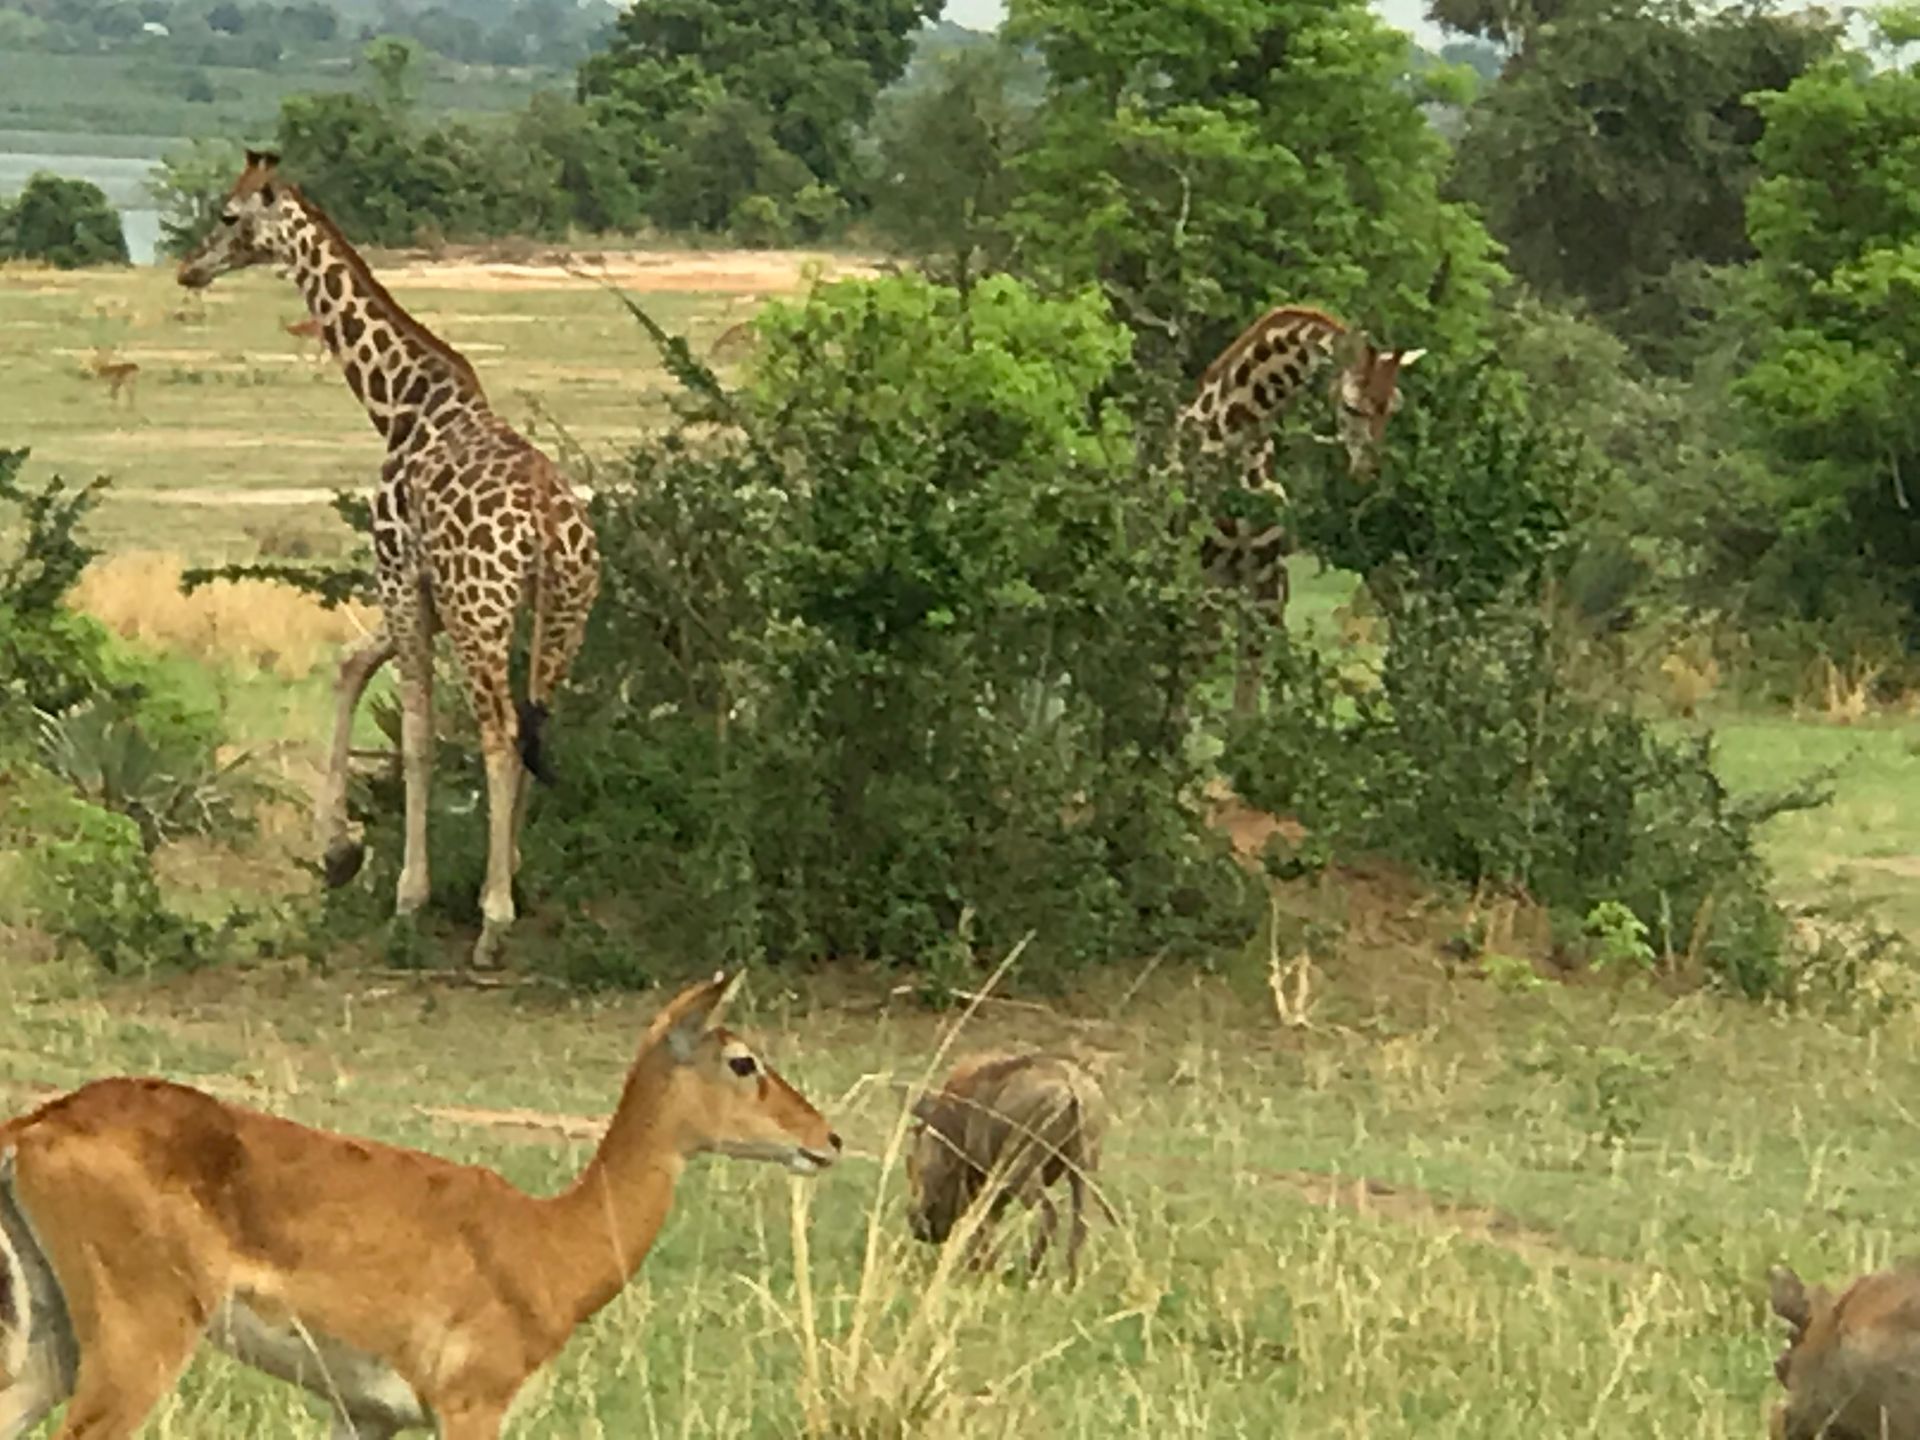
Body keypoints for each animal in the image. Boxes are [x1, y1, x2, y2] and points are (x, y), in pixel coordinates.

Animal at [0, 975, 840, 1436]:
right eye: (744, 1061)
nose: (828, 1139)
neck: (549, 1244)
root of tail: (34, 1127)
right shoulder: (470, 1406)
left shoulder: (368, 1414)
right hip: (138, 1342)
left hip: (53, 1340)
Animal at [180, 149, 602, 971]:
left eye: (227, 214)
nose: (189, 269)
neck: (399, 402)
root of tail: (546, 519)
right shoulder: (419, 592)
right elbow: (349, 664)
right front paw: (339, 853)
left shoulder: (400, 575)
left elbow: (413, 736)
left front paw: (408, 894)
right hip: (563, 611)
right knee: (538, 723)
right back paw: (513, 881)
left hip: (482, 611)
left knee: (500, 732)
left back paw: (492, 922)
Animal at [906, 1052, 1121, 1282]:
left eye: (918, 1168)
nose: (920, 1231)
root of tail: (1071, 1087)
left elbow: (983, 1224)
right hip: (1084, 1168)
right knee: (1080, 1225)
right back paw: (1069, 1282)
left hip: (1023, 1173)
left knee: (1049, 1213)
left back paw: (1032, 1271)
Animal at [1167, 311, 1428, 725]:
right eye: (1352, 407)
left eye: (1393, 408)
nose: (1367, 471)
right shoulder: (1206, 569)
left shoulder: (1263, 578)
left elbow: (1246, 700)